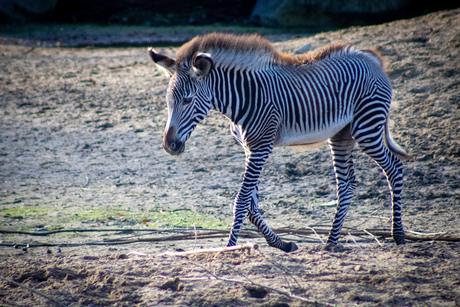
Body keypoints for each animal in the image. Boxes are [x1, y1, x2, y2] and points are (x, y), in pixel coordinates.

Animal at [149, 33, 412, 253]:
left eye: (187, 100)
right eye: (168, 102)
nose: (170, 146)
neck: (245, 97)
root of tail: (369, 57)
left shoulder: (260, 147)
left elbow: (241, 201)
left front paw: (230, 247)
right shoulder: (249, 149)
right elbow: (251, 206)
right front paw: (282, 243)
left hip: (367, 128)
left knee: (394, 168)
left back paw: (398, 235)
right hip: (342, 134)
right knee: (347, 184)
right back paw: (331, 241)